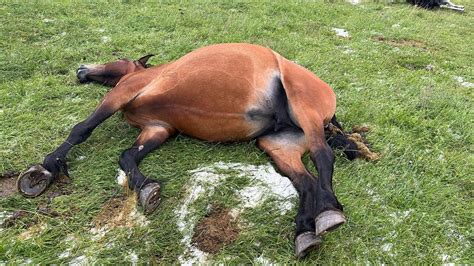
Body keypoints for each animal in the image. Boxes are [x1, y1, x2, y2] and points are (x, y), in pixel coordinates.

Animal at [17, 43, 378, 258]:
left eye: (116, 58)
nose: (81, 70)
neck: (151, 75)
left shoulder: (121, 94)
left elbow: (82, 129)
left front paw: (43, 171)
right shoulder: (159, 128)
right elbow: (128, 156)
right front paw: (147, 189)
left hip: (304, 110)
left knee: (323, 156)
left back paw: (328, 212)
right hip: (277, 143)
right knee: (306, 182)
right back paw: (305, 231)